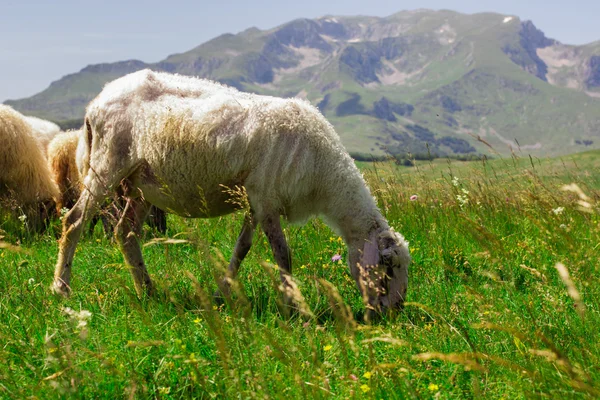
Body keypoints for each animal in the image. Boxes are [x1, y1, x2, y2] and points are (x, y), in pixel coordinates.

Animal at [54, 70, 410, 314]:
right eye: (388, 267)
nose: (392, 313)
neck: (324, 177)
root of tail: (97, 101)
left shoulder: (254, 200)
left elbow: (242, 248)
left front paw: (222, 293)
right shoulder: (266, 198)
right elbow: (283, 254)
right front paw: (293, 307)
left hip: (141, 184)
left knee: (125, 232)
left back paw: (148, 291)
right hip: (106, 163)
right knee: (74, 222)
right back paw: (61, 289)